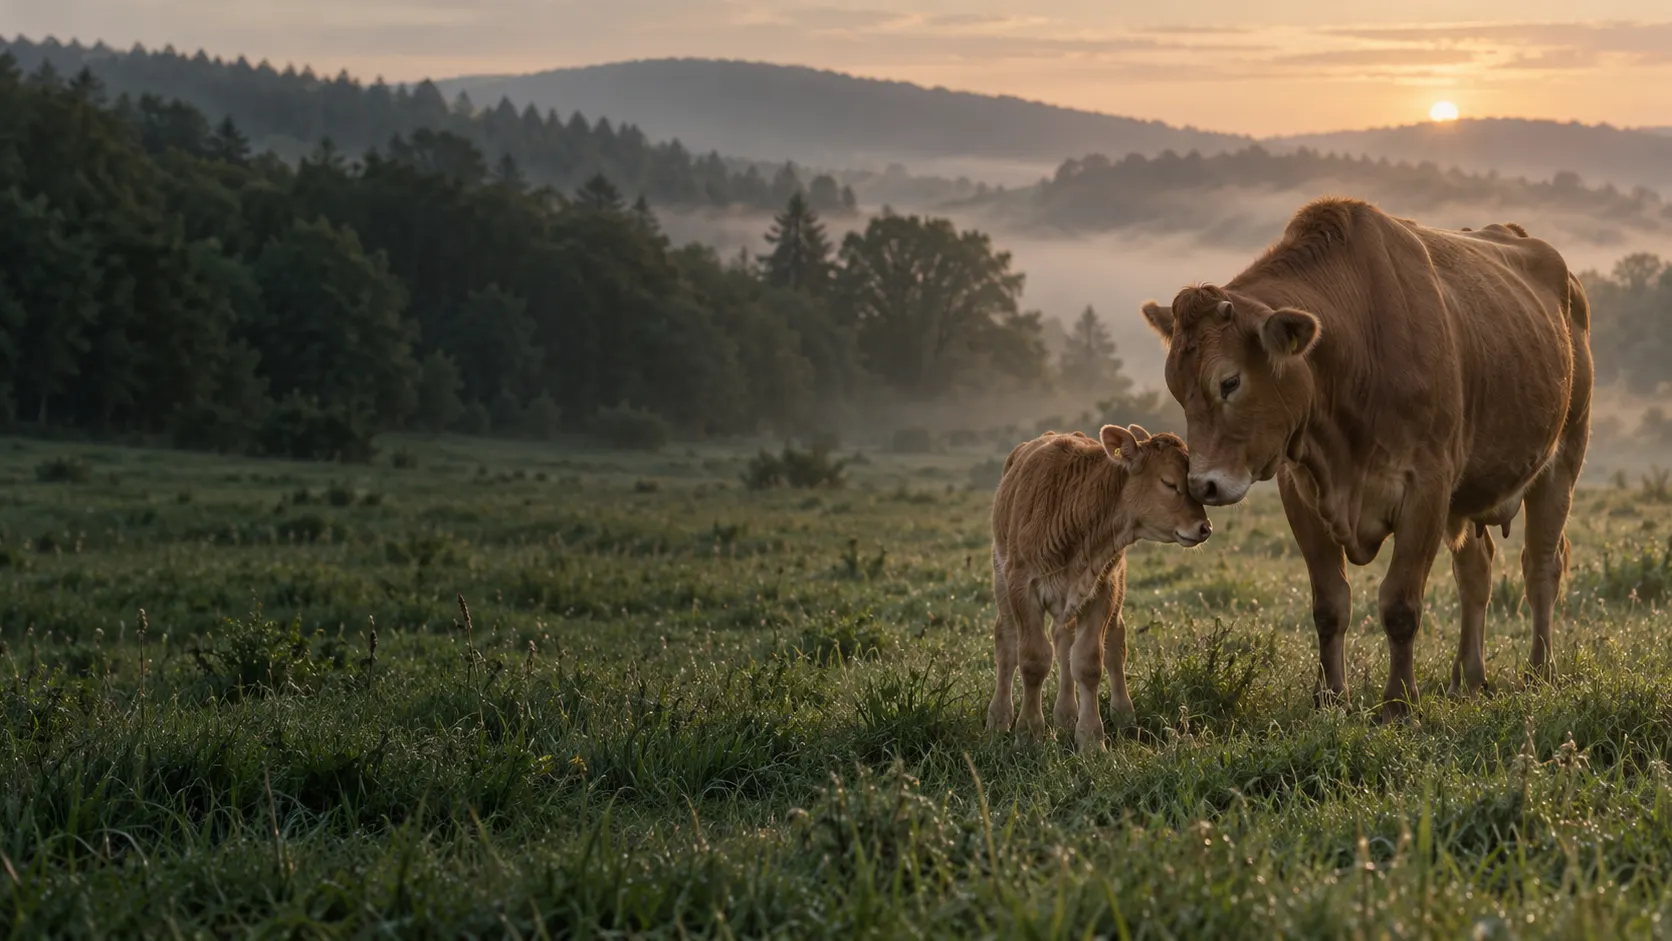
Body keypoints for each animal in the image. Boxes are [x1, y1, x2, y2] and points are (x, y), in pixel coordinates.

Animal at [988, 425, 1214, 752]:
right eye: (1169, 483)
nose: (1204, 527)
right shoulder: (1022, 586)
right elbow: (1032, 659)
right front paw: (1028, 733)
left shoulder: (1102, 591)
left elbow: (1087, 661)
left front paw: (1091, 738)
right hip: (1001, 581)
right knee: (1007, 641)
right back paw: (999, 717)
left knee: (1102, 642)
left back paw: (1093, 714)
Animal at [1138, 197, 1592, 721]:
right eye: (1177, 389)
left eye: (1229, 382)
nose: (1202, 485)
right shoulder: (1302, 492)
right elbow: (1330, 604)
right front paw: (1331, 696)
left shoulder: (1427, 489)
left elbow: (1400, 604)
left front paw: (1399, 702)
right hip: (1471, 495)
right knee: (1475, 574)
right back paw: (1468, 678)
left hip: (1561, 462)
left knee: (1541, 567)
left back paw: (1540, 672)